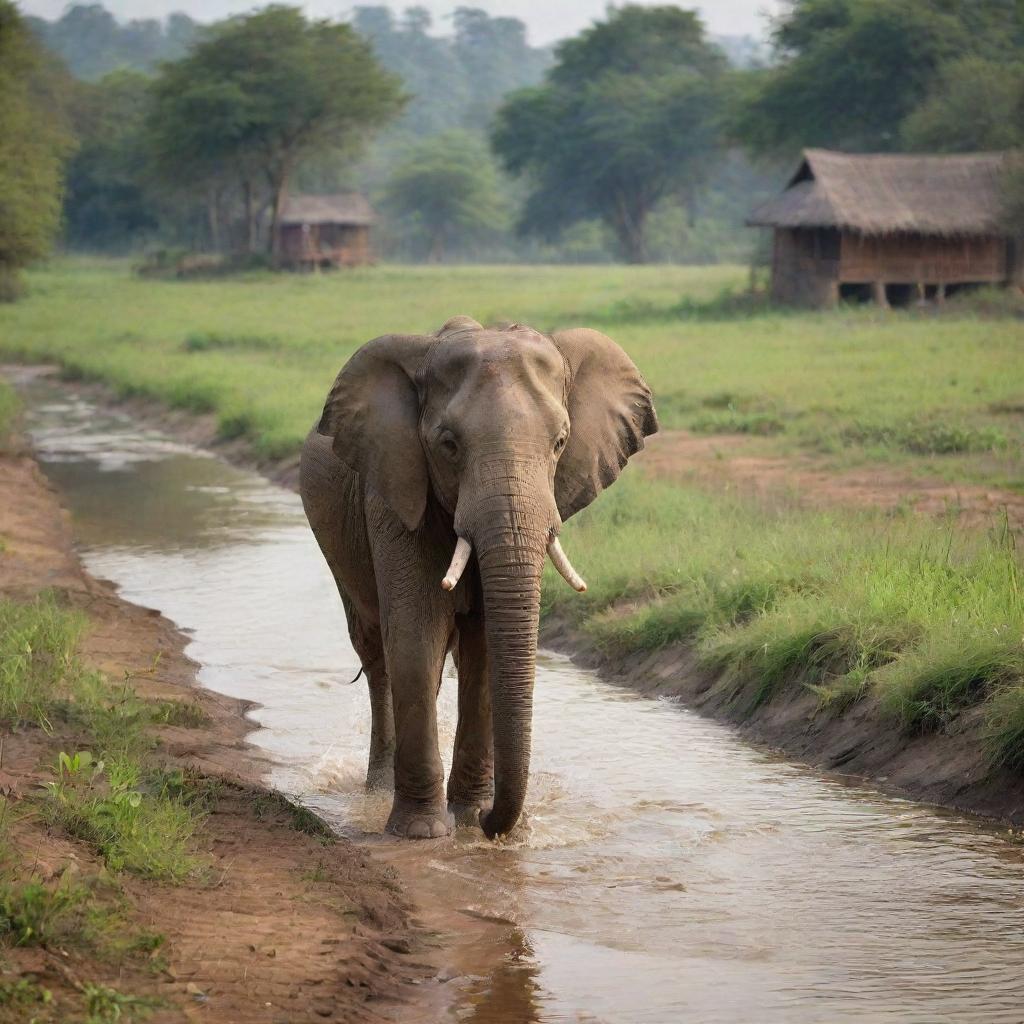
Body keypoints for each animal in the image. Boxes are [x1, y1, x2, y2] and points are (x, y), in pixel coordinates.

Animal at [299, 313, 659, 839]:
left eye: (560, 443)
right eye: (448, 445)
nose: (496, 824)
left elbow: (486, 645)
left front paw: (469, 820)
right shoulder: (395, 493)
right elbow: (416, 635)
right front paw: (424, 834)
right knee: (376, 651)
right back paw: (377, 792)